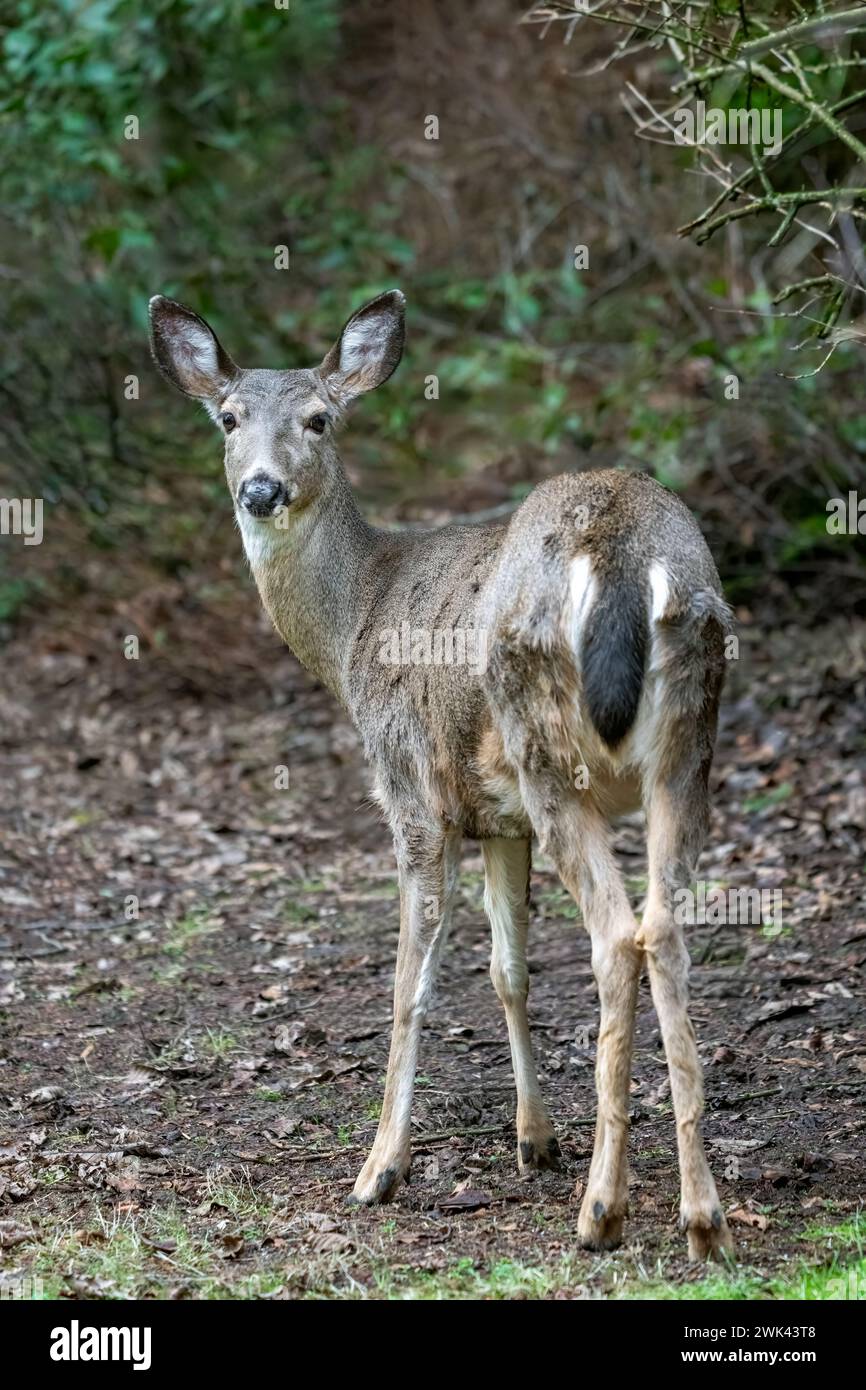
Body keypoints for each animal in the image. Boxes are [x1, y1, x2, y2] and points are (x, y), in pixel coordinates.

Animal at [148, 284, 733, 1262]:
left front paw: (381, 1167)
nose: (261, 489)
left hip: (547, 746)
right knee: (667, 933)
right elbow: (507, 969)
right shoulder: (498, 818)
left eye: (318, 418)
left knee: (617, 936)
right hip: (688, 743)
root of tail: (619, 547)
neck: (354, 619)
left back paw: (603, 1211)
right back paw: (702, 1218)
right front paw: (535, 1138)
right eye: (227, 418)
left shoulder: (412, 787)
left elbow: (409, 982)